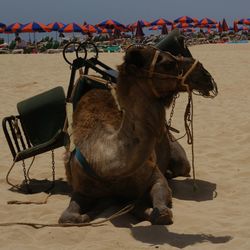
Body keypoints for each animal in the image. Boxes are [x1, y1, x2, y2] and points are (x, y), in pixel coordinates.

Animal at [58, 45, 217, 225]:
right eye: (168, 64)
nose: (205, 74)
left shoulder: (155, 177)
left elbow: (160, 212)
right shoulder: (81, 189)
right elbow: (67, 217)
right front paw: (87, 214)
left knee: (182, 167)